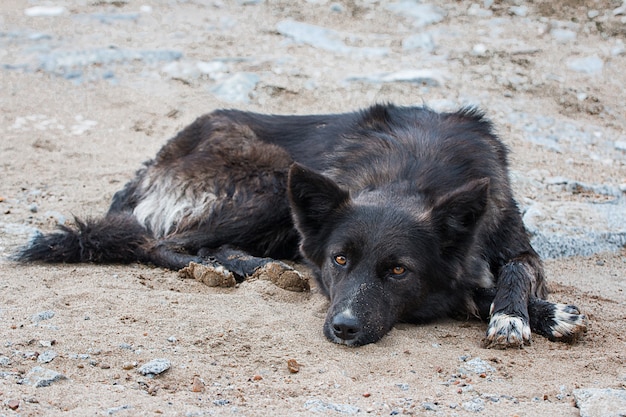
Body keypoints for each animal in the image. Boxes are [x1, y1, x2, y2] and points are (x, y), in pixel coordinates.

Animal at [18, 104, 584, 348]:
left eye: (399, 271)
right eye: (339, 260)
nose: (343, 328)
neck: (415, 167)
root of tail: (157, 158)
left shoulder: (514, 242)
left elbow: (511, 272)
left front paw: (519, 315)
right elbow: (469, 290)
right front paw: (533, 315)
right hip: (272, 180)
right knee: (161, 242)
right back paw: (237, 268)